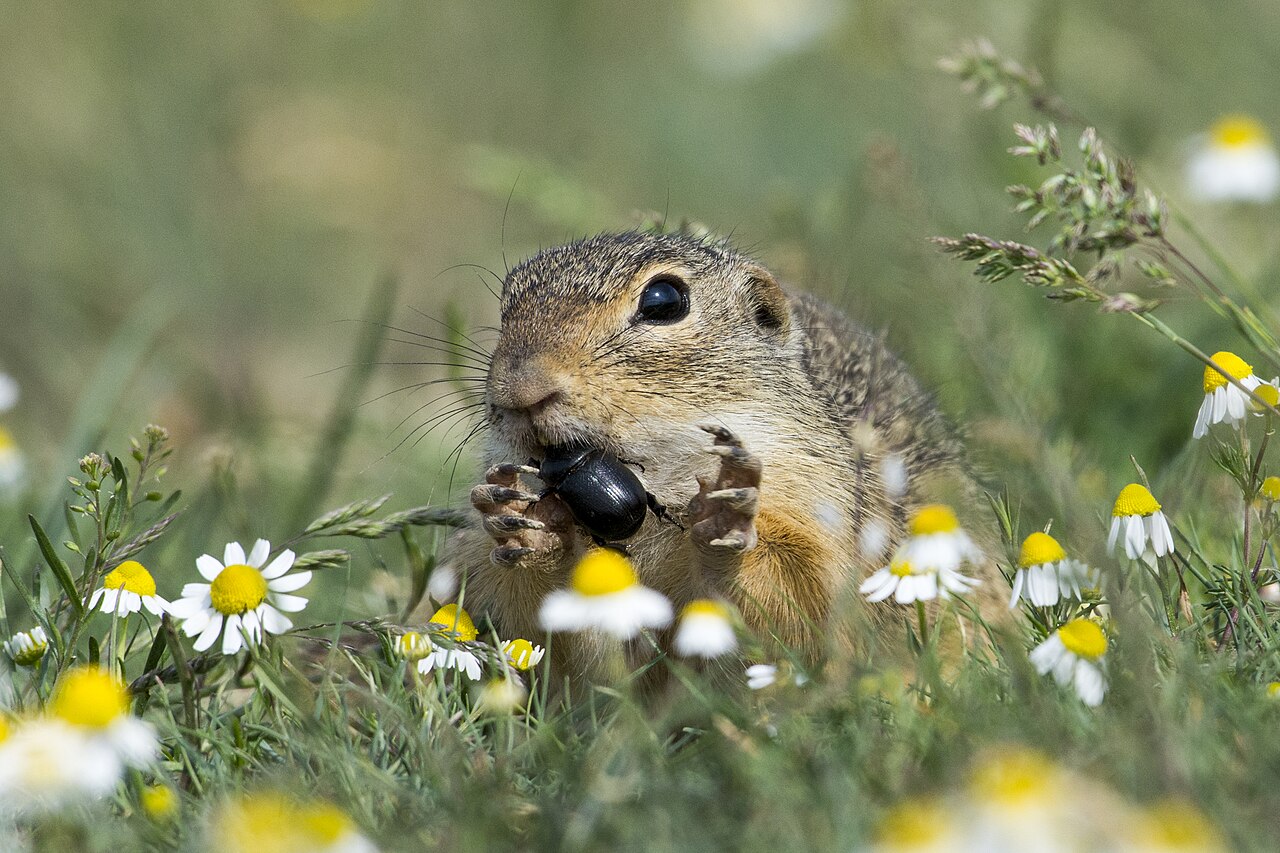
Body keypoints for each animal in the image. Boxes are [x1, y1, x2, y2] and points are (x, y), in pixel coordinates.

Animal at [440, 229, 994, 681]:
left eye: (664, 300)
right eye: (507, 305)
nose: (520, 390)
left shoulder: (821, 510)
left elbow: (802, 600)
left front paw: (725, 519)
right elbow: (543, 641)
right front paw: (525, 524)